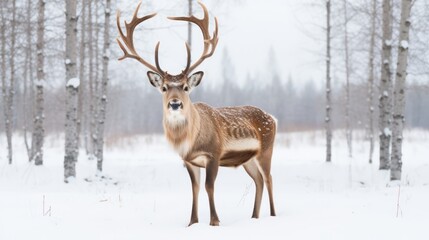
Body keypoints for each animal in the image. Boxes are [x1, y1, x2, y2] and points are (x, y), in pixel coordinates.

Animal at [116, 0, 278, 226]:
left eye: (185, 87)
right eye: (164, 87)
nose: (175, 104)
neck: (190, 140)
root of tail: (273, 118)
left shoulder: (213, 154)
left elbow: (209, 187)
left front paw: (215, 221)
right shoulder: (189, 161)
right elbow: (194, 189)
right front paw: (192, 222)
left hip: (266, 150)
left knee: (269, 178)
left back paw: (272, 215)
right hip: (248, 159)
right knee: (258, 181)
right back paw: (254, 216)